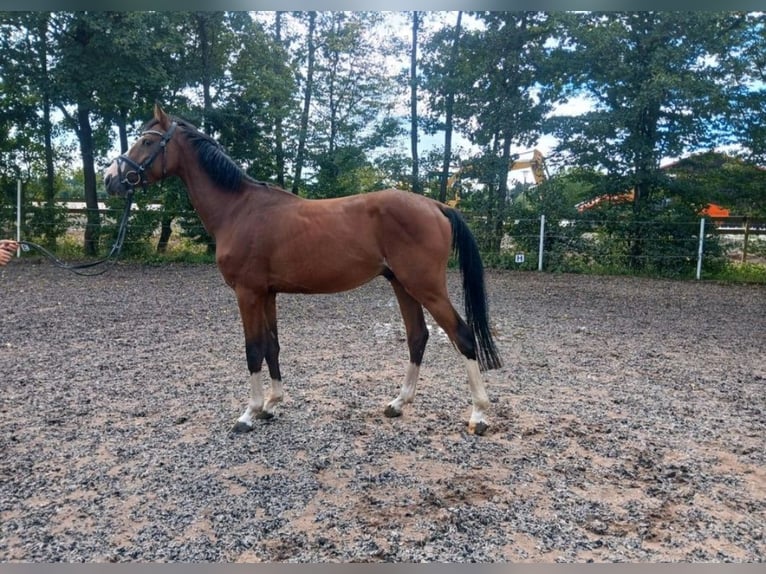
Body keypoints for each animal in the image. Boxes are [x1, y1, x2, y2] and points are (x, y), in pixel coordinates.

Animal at [104, 104, 502, 435]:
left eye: (146, 141)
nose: (110, 179)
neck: (239, 209)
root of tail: (436, 206)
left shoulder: (247, 293)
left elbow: (252, 349)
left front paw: (249, 413)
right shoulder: (267, 294)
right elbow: (272, 346)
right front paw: (272, 405)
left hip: (426, 286)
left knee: (463, 336)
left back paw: (479, 415)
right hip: (402, 285)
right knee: (418, 336)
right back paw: (398, 403)